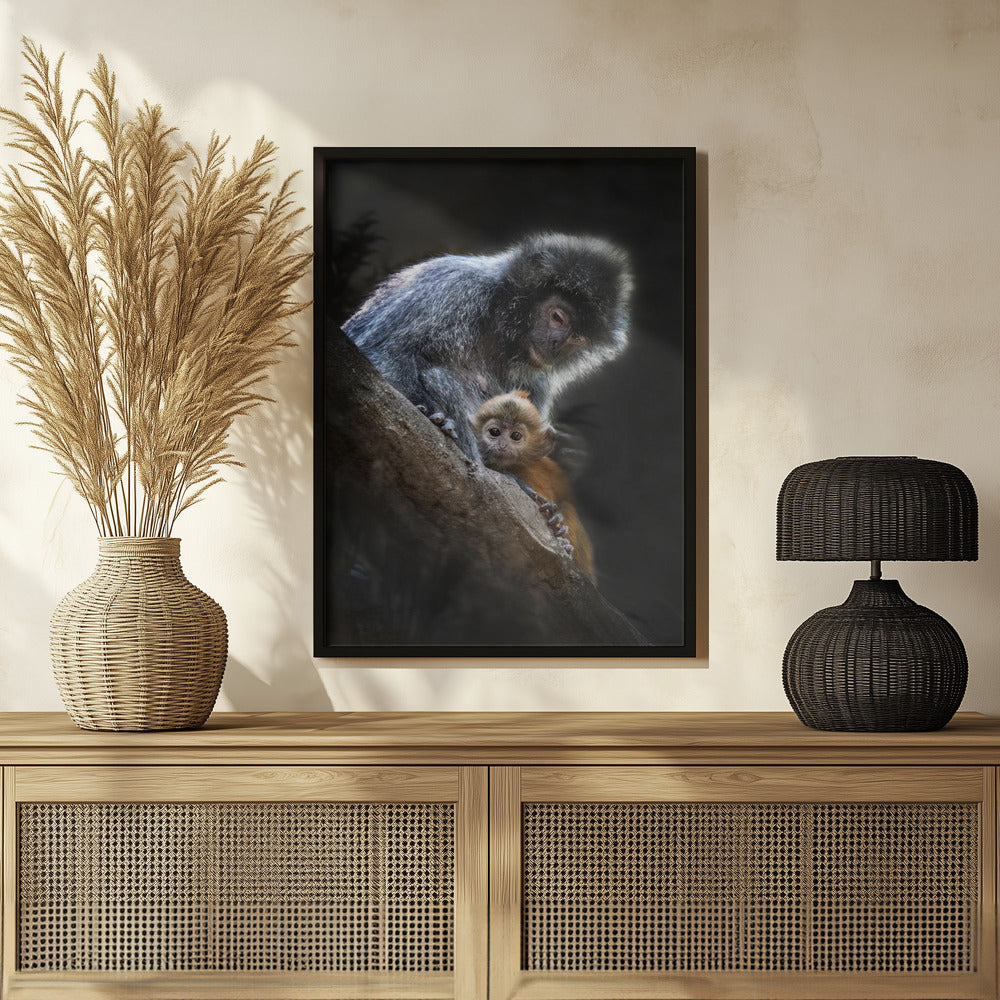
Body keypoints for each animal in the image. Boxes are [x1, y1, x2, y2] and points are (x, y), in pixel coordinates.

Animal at [342, 232, 632, 461]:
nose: (557, 345)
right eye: (558, 317)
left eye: (577, 339)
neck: (498, 324)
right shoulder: (455, 288)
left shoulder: (538, 378)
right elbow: (381, 352)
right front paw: (432, 414)